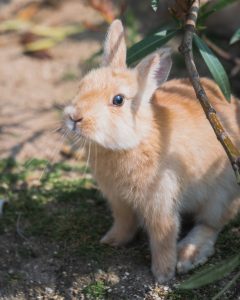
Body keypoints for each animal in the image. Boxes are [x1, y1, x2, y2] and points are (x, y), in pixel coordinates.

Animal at [63, 19, 240, 284]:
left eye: (118, 100)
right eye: (82, 85)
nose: (74, 117)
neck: (135, 141)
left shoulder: (161, 202)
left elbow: (163, 236)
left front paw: (163, 274)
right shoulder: (119, 201)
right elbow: (124, 222)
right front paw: (112, 241)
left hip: (221, 195)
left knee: (211, 225)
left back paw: (188, 255)